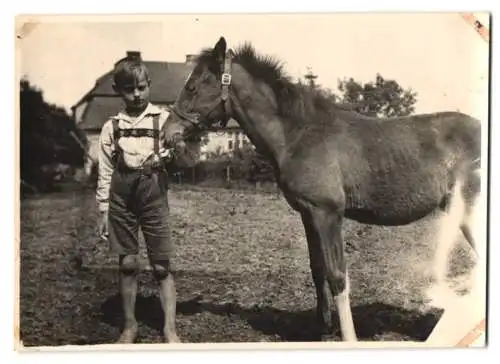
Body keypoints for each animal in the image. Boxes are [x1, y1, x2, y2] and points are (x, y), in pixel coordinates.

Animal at [162, 37, 482, 342]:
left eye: (192, 86)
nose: (167, 134)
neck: (299, 134)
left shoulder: (328, 214)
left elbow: (337, 275)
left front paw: (348, 336)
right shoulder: (308, 214)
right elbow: (317, 270)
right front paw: (323, 329)